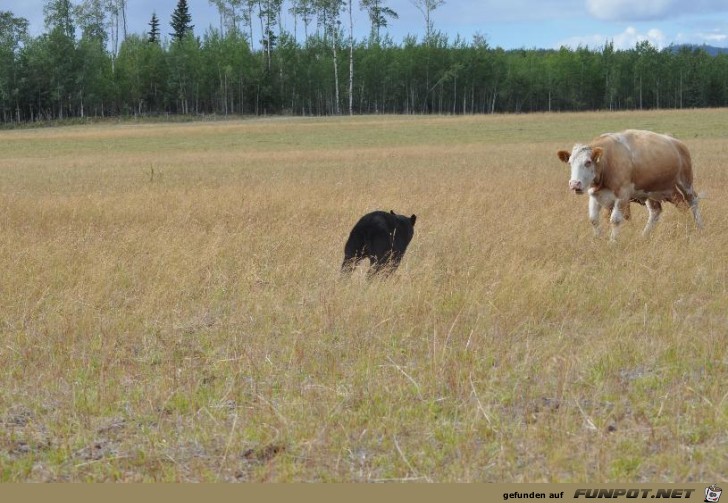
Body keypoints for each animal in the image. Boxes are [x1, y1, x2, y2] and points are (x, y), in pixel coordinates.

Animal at [560, 129, 704, 241]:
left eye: (588, 162)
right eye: (570, 163)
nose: (574, 184)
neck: (608, 160)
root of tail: (676, 142)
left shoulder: (622, 196)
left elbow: (615, 219)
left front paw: (612, 242)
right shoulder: (595, 195)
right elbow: (593, 219)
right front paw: (597, 239)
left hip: (685, 182)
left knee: (692, 201)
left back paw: (699, 226)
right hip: (656, 192)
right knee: (662, 210)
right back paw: (645, 235)